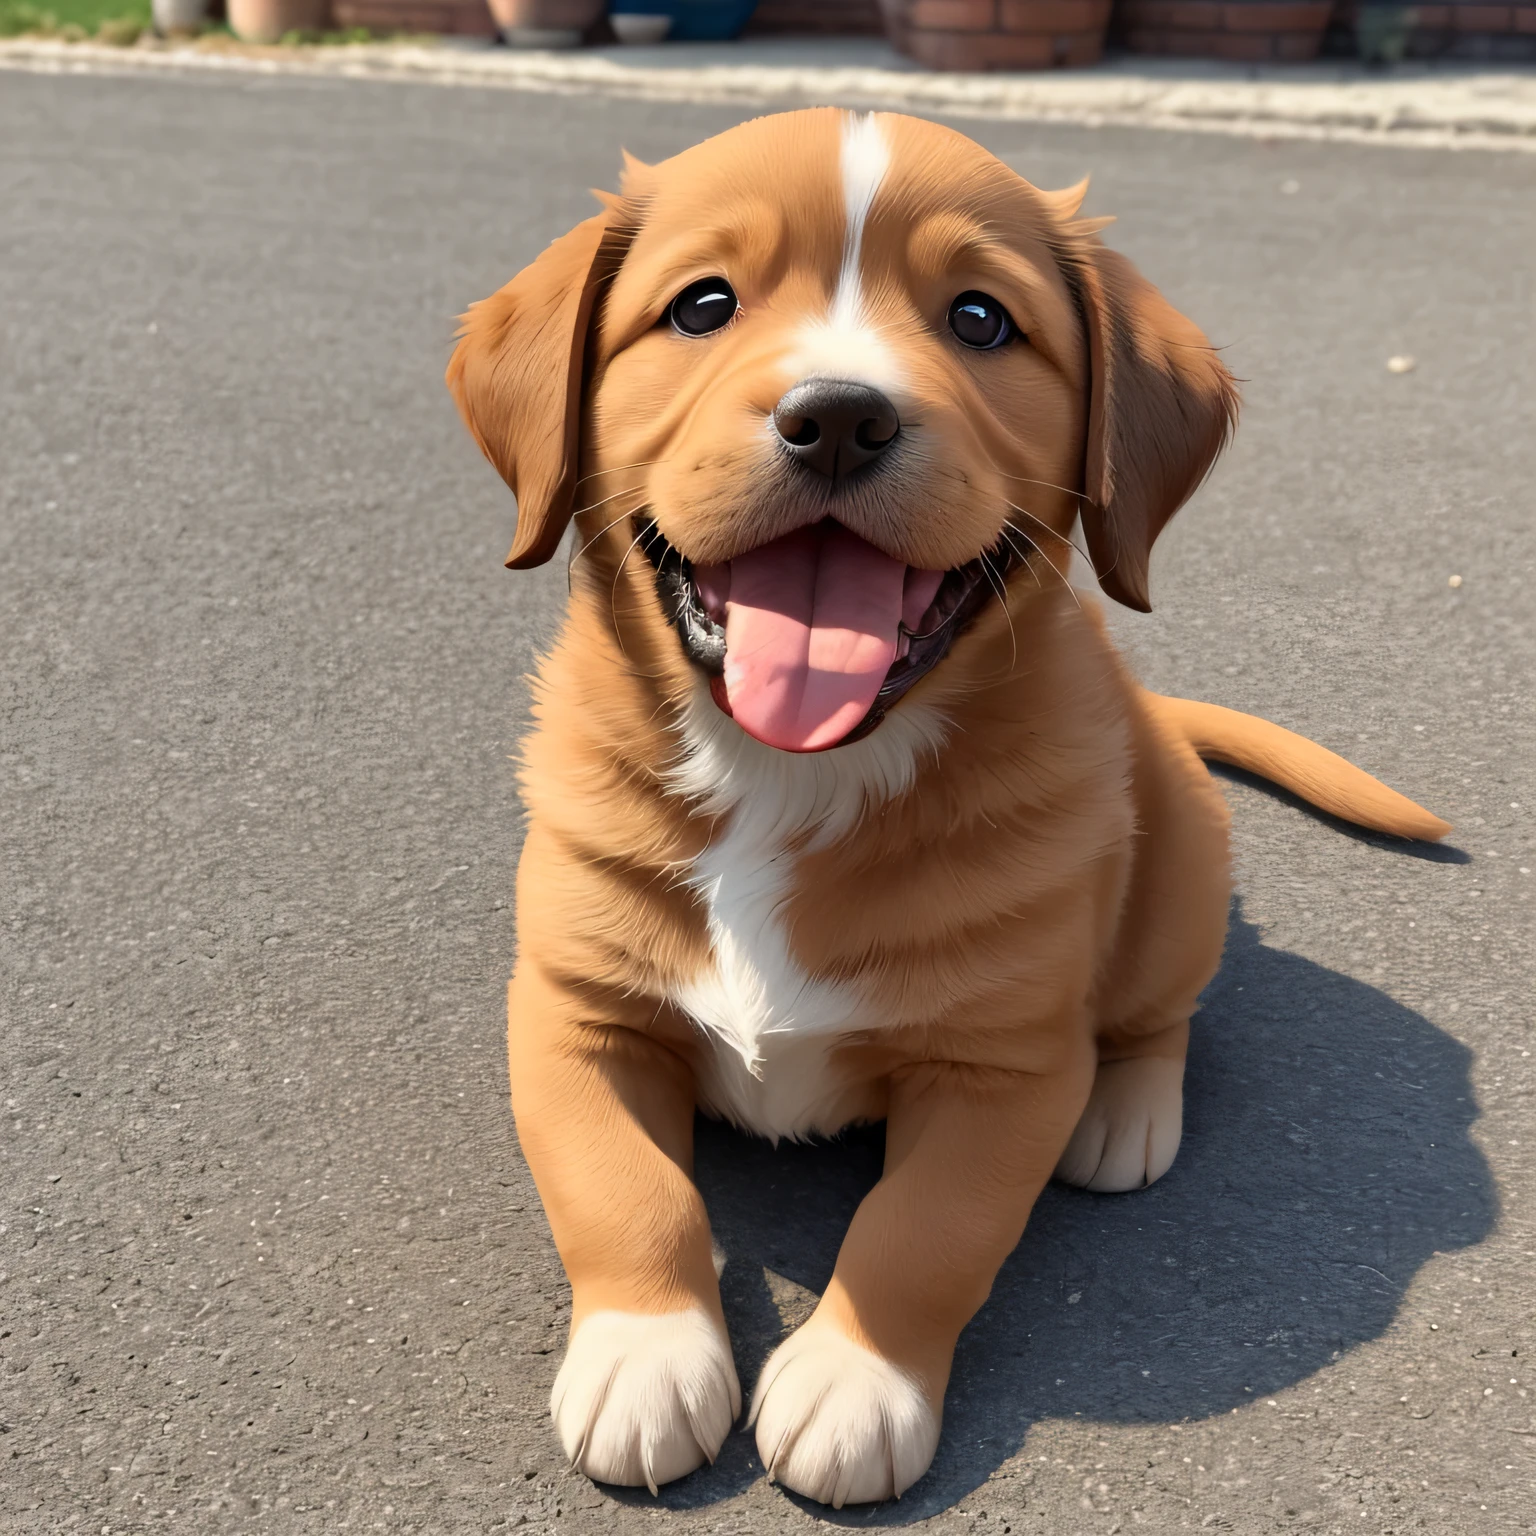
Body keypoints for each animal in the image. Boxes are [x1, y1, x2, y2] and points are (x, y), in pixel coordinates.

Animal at [448, 111, 1449, 1511]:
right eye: (703, 305)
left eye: (980, 320)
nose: (838, 418)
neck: (791, 772)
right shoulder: (568, 1012)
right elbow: (620, 1186)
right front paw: (646, 1353)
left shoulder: (1006, 1070)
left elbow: (927, 1229)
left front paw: (857, 1381)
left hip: (1183, 876)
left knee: (1162, 1017)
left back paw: (1128, 1116)